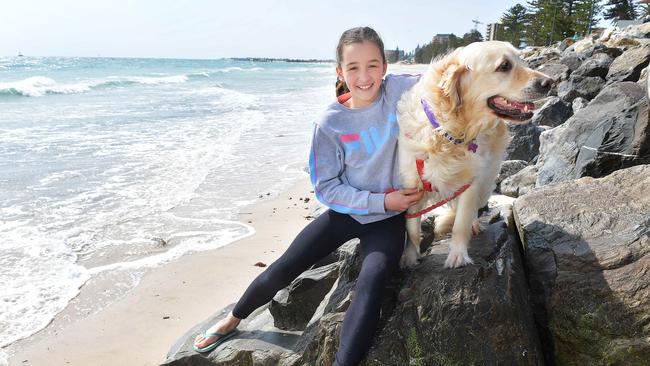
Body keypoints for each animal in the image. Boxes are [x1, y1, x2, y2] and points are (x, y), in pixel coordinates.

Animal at [394, 41, 552, 268]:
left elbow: (461, 223)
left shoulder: (470, 182)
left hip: (486, 182)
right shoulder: (411, 184)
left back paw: (474, 225)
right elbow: (412, 228)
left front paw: (458, 256)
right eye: (505, 66)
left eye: (521, 60)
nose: (550, 82)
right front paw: (409, 257)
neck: (449, 132)